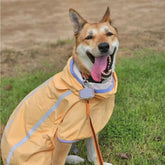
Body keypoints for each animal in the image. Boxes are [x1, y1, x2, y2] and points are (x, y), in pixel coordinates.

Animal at [0, 7, 118, 165]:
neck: (88, 82)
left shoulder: (91, 121)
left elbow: (93, 152)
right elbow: (58, 160)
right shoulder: (65, 133)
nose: (104, 46)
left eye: (109, 34)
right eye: (89, 37)